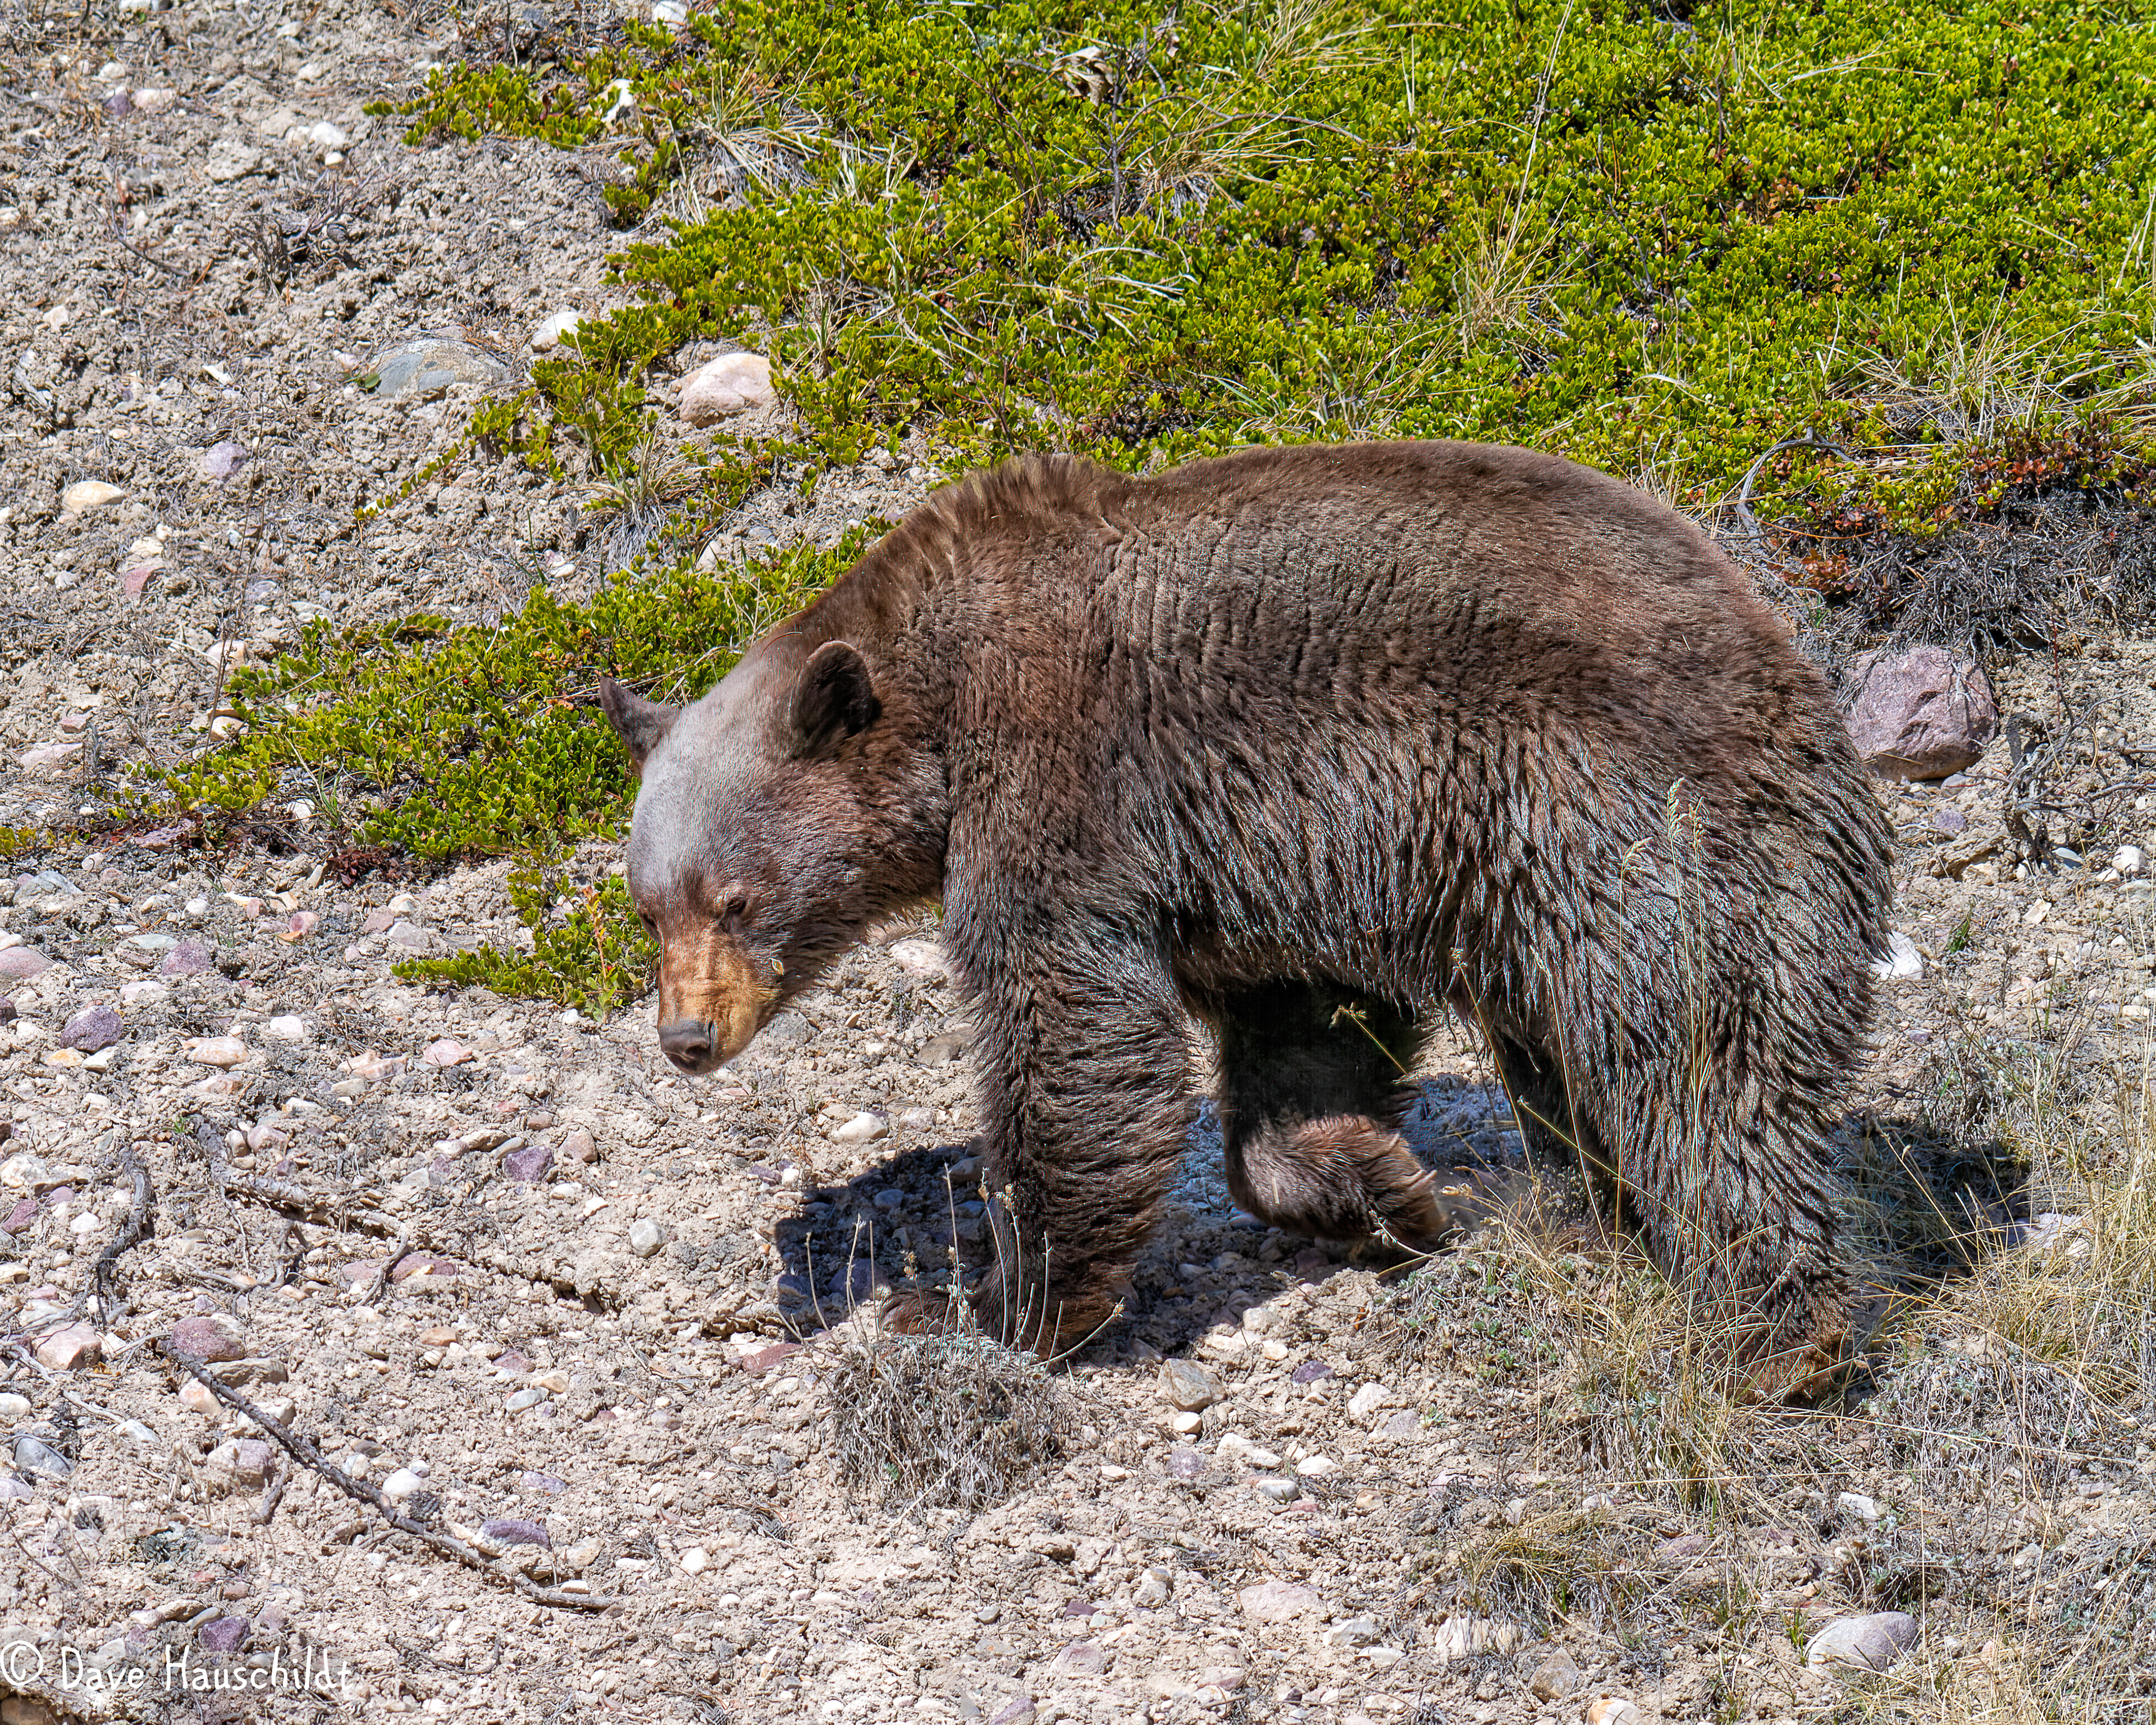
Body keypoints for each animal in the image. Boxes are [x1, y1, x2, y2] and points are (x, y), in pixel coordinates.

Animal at [599, 440, 1894, 1397]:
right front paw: (1386, 1192)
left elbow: (1075, 1035)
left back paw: (1777, 1335)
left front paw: (986, 1301)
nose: (687, 1038)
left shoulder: (1075, 790)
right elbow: (1302, 1030)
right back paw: (1595, 1227)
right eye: (648, 909)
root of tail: (1806, 693)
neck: (938, 711)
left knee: (1692, 1072)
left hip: (1629, 832)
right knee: (1575, 1072)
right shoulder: (1268, 866)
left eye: (736, 897)